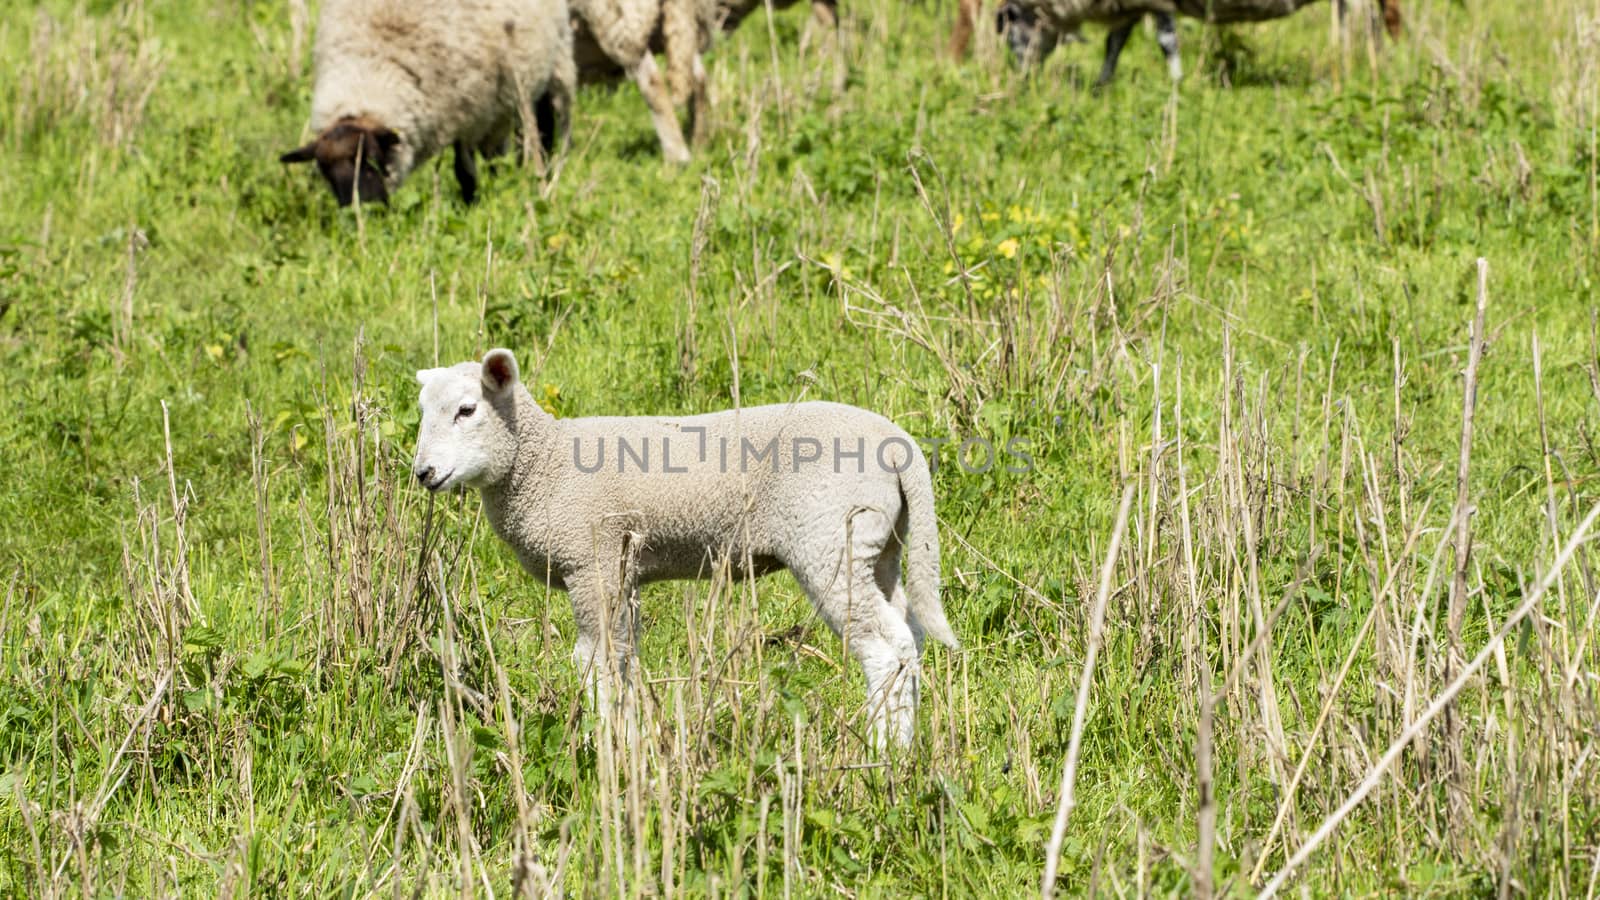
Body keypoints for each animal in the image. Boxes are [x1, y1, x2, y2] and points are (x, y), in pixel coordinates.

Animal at [280, 0, 576, 204]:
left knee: (548, 125)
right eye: (325, 171)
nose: (361, 211)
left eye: (374, 159)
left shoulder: (466, 108)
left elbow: (464, 170)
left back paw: (548, 172)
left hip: (553, 64)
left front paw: (470, 204)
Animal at [416, 347, 960, 746]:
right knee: (909, 634)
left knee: (885, 646)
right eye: (422, 414)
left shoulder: (591, 560)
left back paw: (884, 752)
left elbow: (595, 660)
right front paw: (632, 738)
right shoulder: (624, 567)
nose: (423, 472)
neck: (543, 463)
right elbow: (625, 655)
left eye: (467, 410)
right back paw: (906, 745)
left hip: (828, 539)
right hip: (880, 545)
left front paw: (607, 745)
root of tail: (900, 446)